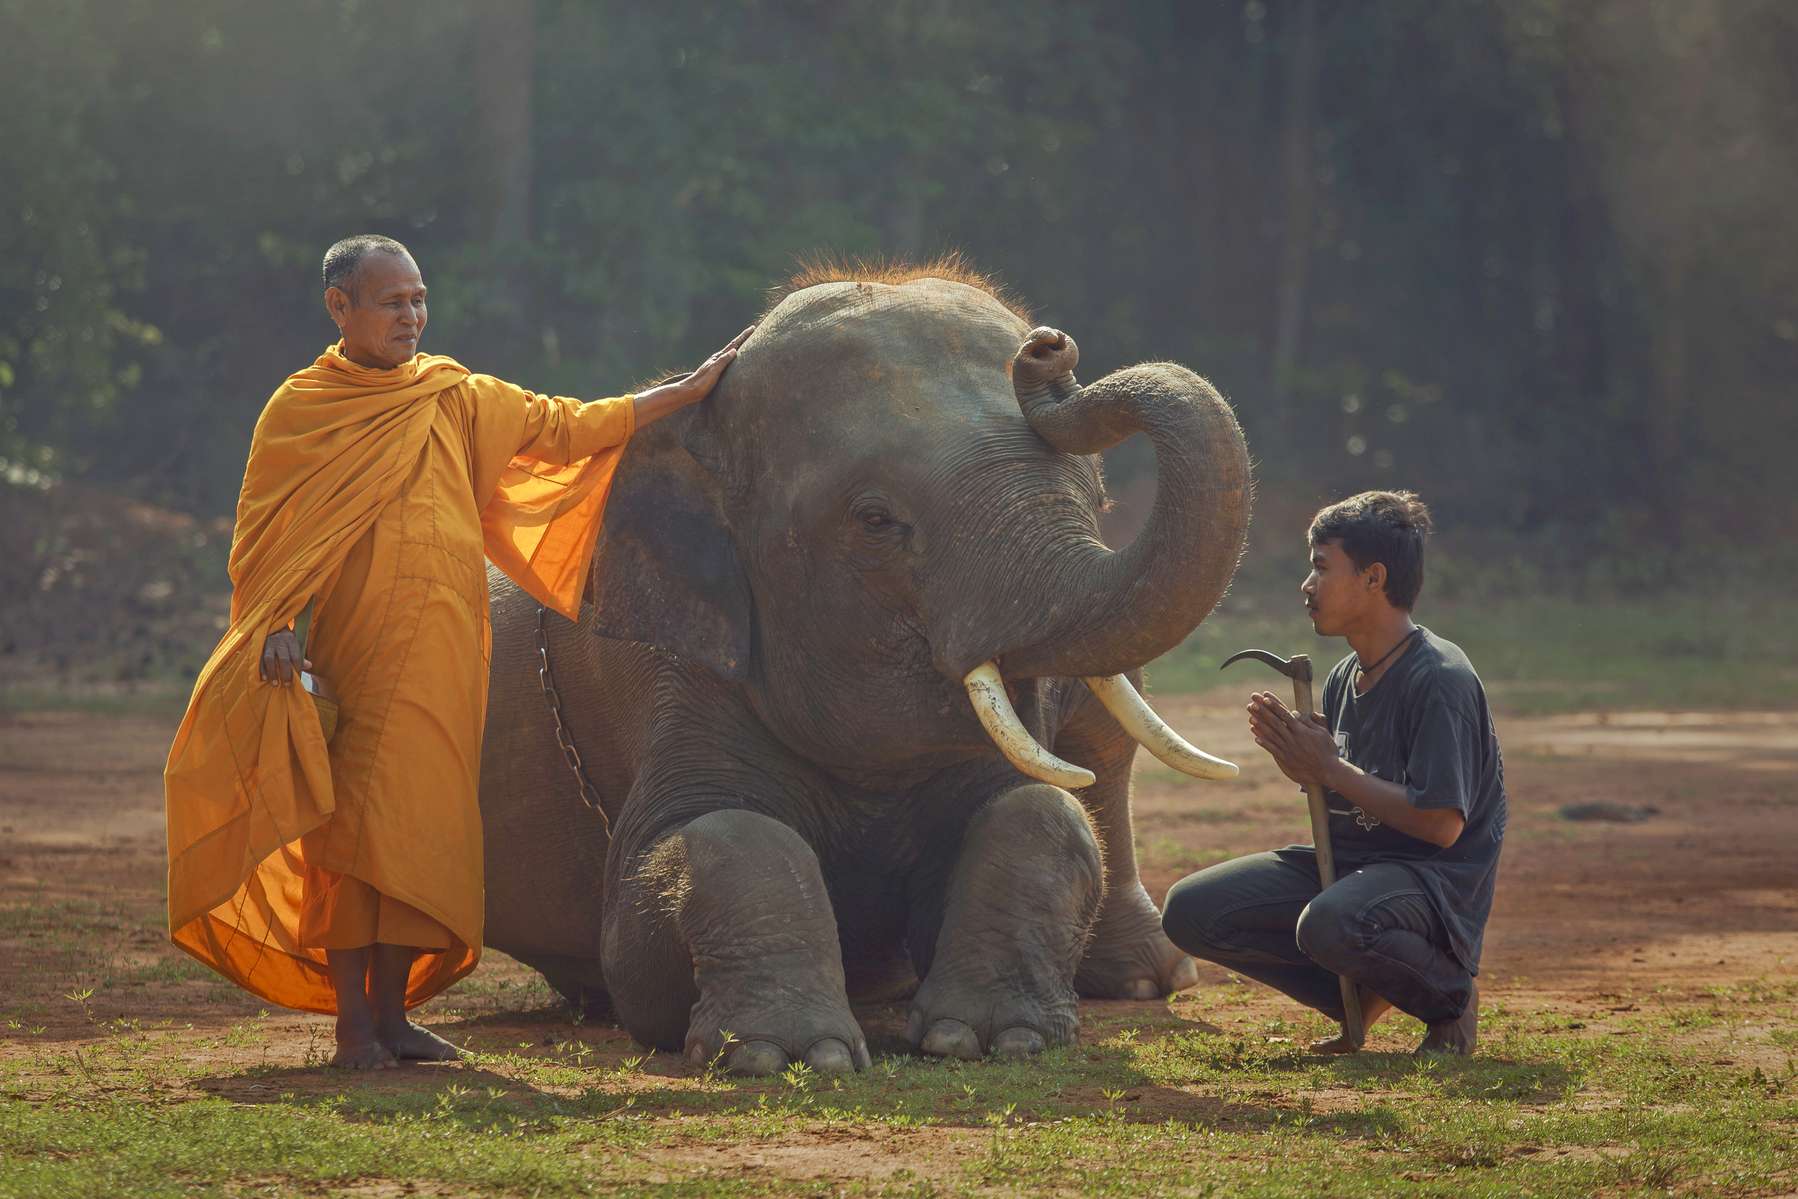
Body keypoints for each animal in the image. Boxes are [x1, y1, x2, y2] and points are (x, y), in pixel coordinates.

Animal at [476, 263, 1251, 1075]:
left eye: (1095, 499)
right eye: (875, 520)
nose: (1048, 350)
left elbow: (1040, 811)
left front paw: (992, 1037)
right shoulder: (672, 678)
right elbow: (668, 899)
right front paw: (789, 1054)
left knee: (1108, 748)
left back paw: (1141, 980)